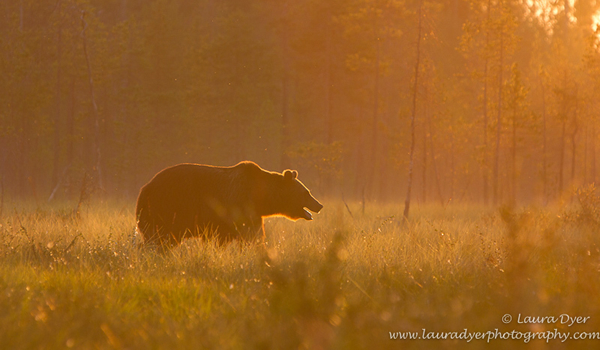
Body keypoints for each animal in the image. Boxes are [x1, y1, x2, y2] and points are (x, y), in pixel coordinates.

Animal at [136, 161, 324, 246]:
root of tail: (144, 188)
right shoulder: (241, 206)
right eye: (307, 192)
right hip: (164, 209)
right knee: (159, 238)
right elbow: (251, 235)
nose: (319, 205)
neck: (261, 198)